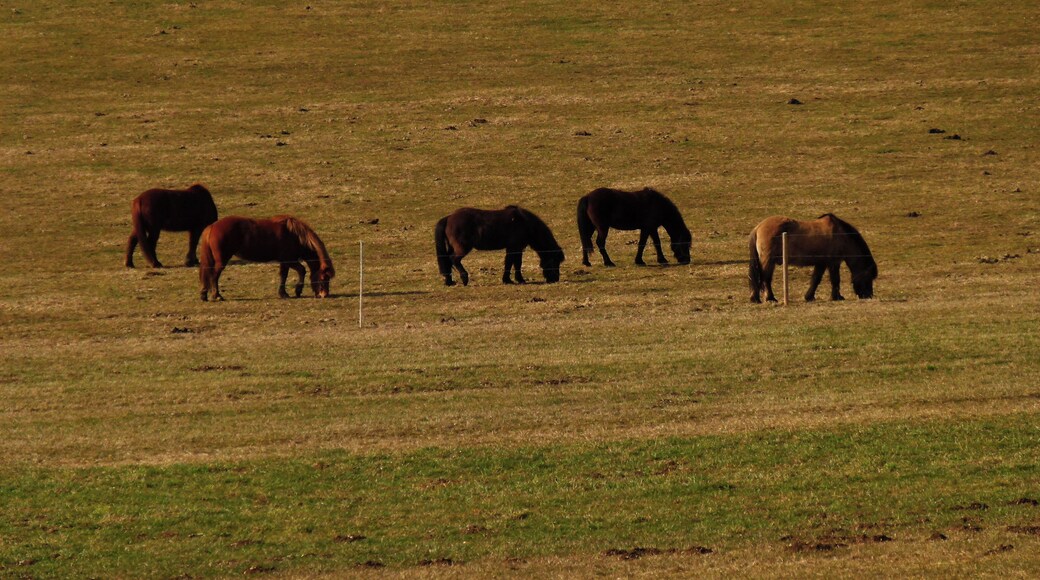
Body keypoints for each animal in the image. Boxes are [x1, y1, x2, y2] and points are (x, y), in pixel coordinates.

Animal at [198, 215, 335, 301]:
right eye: (324, 277)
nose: (324, 295)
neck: (295, 235)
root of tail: (212, 226)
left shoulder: (284, 262)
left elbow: (283, 275)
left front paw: (283, 293)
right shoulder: (288, 260)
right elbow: (301, 270)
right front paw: (297, 291)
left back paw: (204, 294)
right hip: (222, 260)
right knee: (214, 275)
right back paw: (217, 295)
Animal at [434, 206, 564, 286]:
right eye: (554, 261)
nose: (555, 279)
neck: (525, 223)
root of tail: (449, 217)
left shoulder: (516, 248)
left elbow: (515, 263)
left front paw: (514, 279)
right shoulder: (514, 248)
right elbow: (511, 263)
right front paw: (511, 280)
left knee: (447, 261)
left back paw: (449, 281)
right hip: (462, 248)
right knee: (454, 259)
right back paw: (464, 278)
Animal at [748, 214, 877, 303]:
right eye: (869, 276)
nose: (868, 296)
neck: (841, 236)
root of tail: (758, 227)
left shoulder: (821, 263)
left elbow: (816, 279)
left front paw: (809, 296)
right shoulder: (833, 263)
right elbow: (835, 279)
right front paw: (837, 297)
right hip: (768, 261)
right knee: (765, 278)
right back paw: (769, 298)